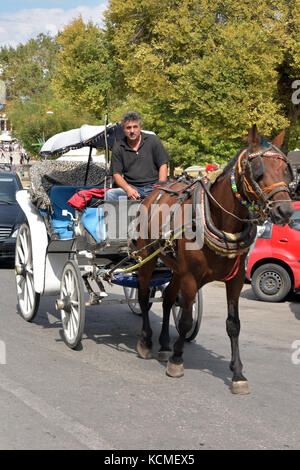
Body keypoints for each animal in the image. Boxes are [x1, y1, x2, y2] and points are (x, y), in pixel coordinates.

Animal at [135, 125, 294, 392]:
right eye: (258, 170)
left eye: (285, 169)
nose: (285, 211)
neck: (219, 220)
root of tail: (152, 193)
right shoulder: (191, 277)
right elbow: (186, 320)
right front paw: (177, 360)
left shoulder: (236, 279)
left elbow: (233, 324)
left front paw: (238, 373)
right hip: (146, 259)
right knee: (144, 296)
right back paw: (146, 341)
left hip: (175, 269)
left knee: (167, 301)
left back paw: (165, 344)